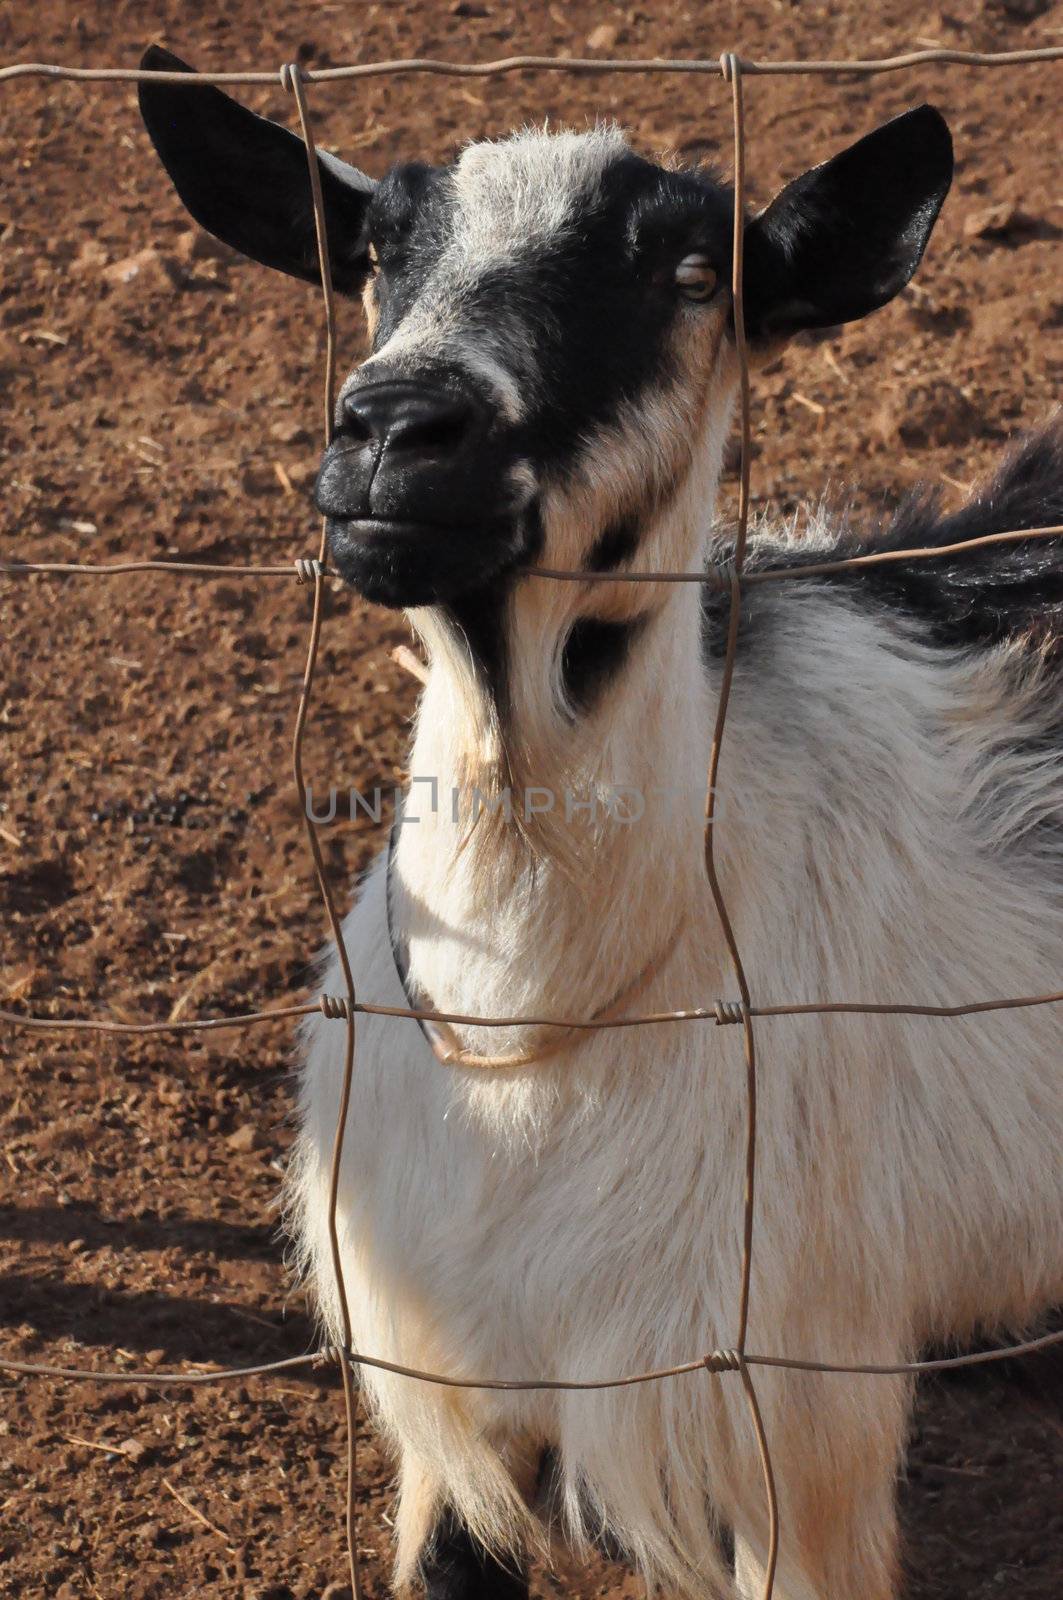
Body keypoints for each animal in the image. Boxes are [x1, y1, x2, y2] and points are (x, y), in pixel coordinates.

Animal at [140, 46, 1063, 1600]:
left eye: (692, 272)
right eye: (374, 255)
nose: (394, 432)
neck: (534, 1041)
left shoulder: (784, 1420)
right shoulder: (458, 1397)